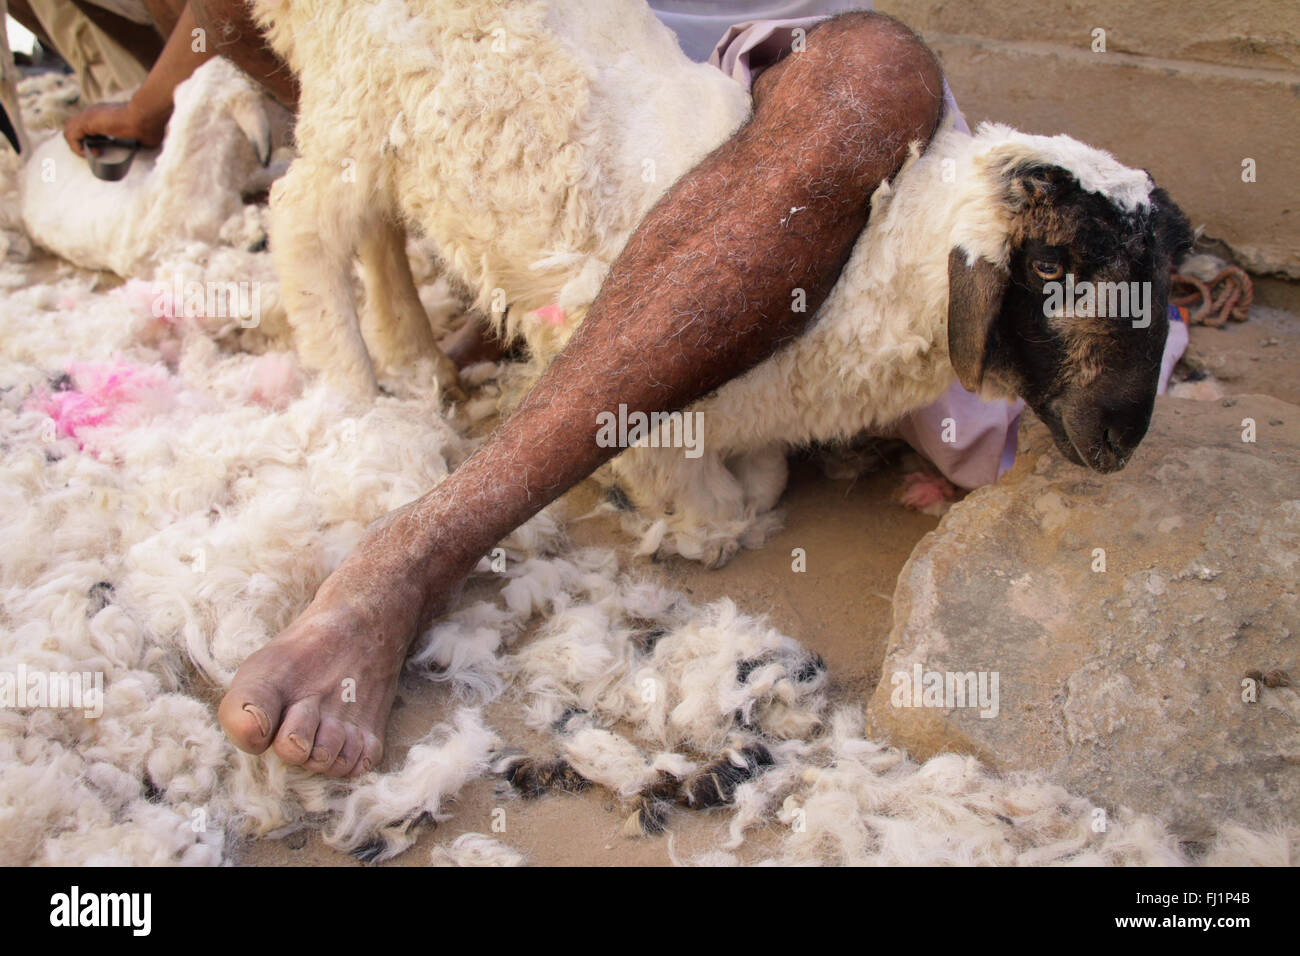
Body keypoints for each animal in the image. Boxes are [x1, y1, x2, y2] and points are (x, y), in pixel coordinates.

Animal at [250, 0, 1190, 564]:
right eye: (1049, 267)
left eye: (1162, 274)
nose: (1122, 436)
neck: (863, 270)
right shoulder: (632, 403)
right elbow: (719, 509)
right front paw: (693, 526)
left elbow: (764, 474)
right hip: (354, 109)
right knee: (303, 223)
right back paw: (355, 391)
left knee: (374, 225)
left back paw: (415, 361)